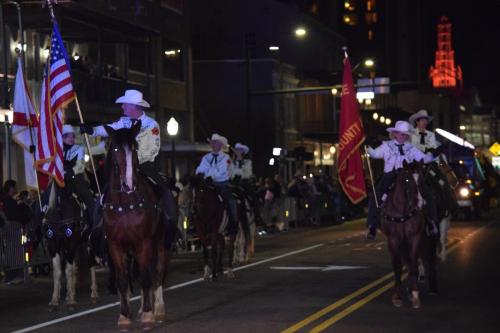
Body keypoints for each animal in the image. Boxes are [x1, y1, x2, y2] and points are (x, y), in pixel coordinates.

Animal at [103, 120, 170, 328]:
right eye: (115, 148)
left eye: (135, 148)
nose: (128, 184)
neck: (125, 203)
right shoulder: (115, 245)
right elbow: (123, 280)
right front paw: (124, 316)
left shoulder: (144, 242)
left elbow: (146, 278)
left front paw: (149, 314)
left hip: (160, 242)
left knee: (157, 272)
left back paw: (158, 309)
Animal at [380, 160, 428, 308]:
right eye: (407, 179)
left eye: (421, 178)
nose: (420, 203)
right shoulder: (393, 240)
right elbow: (397, 267)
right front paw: (397, 296)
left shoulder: (414, 237)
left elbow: (413, 264)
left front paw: (415, 294)